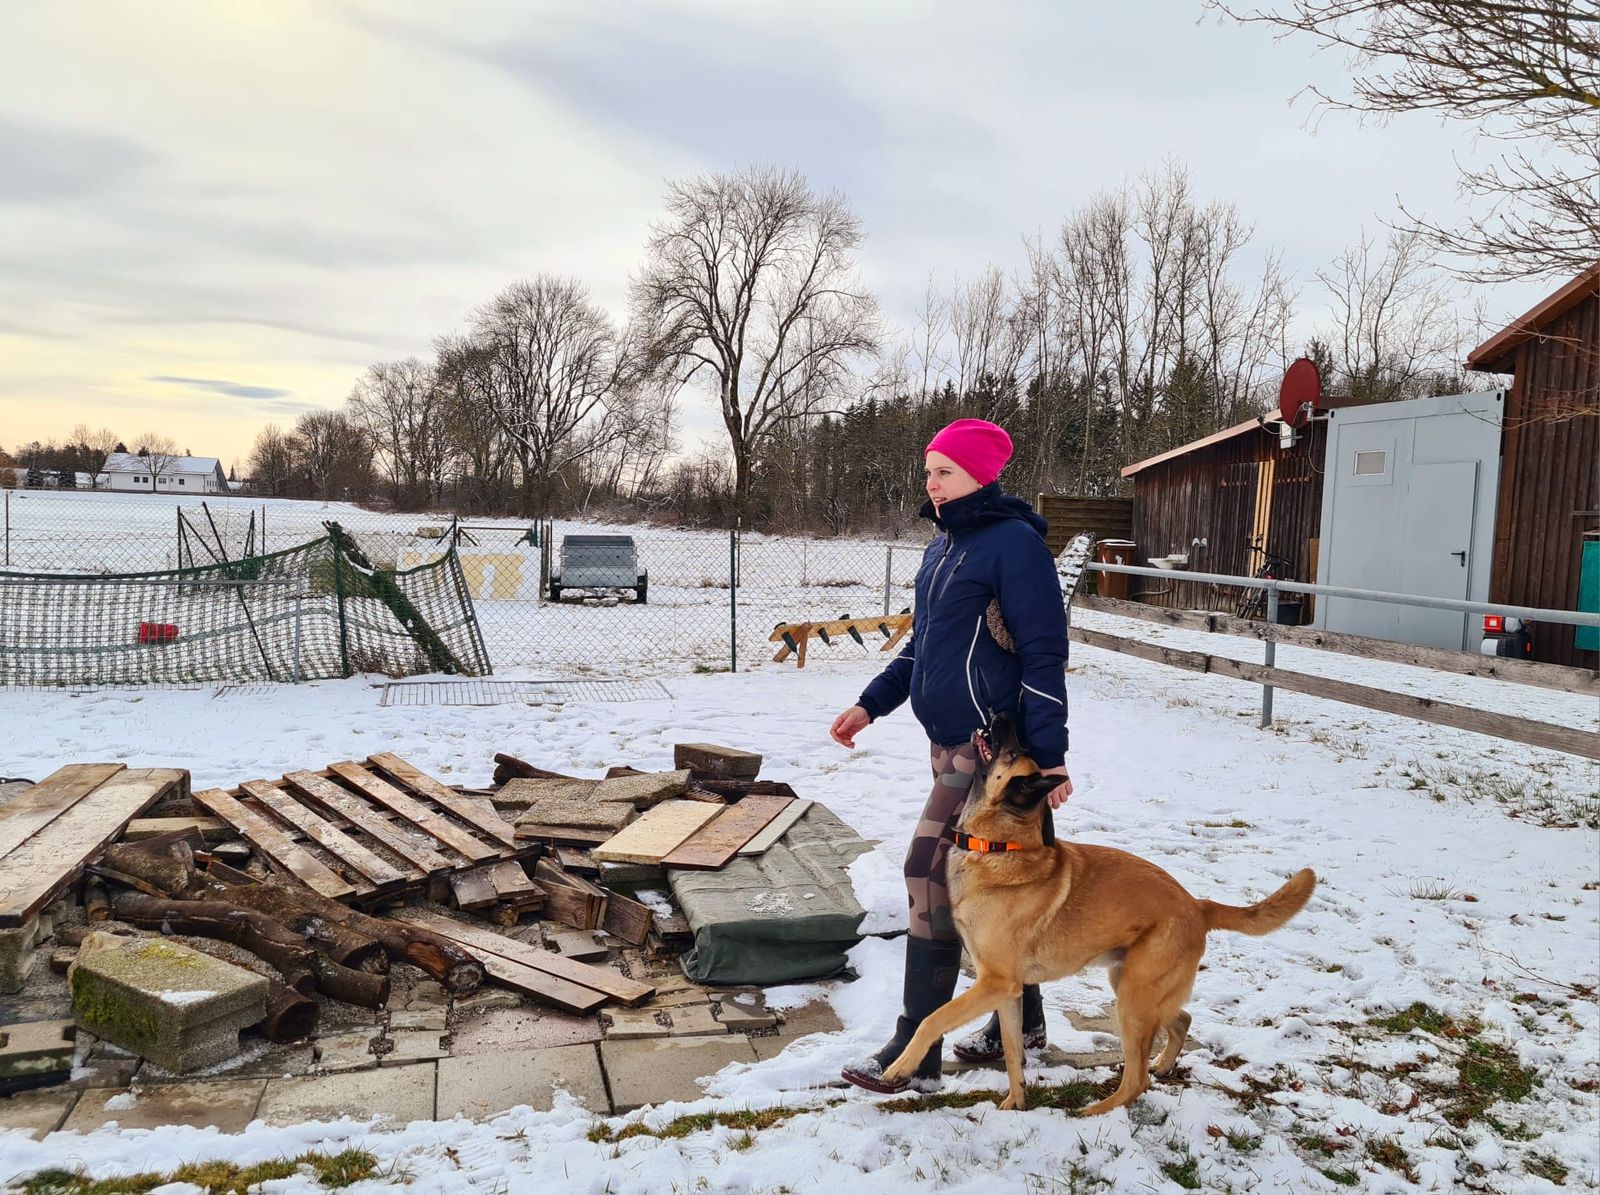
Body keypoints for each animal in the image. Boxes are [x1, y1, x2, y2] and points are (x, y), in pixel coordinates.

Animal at [876, 716, 1312, 1119]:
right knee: (1182, 1020)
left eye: (1012, 753)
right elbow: (1014, 1053)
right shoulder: (1006, 992)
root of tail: (1197, 904)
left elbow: (933, 1019)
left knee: (1136, 1079)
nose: (1003, 715)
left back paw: (1093, 1112)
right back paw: (1163, 1064)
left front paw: (901, 1067)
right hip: (1131, 985)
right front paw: (1016, 1104)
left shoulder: (994, 983)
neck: (998, 846)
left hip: (1132, 999)